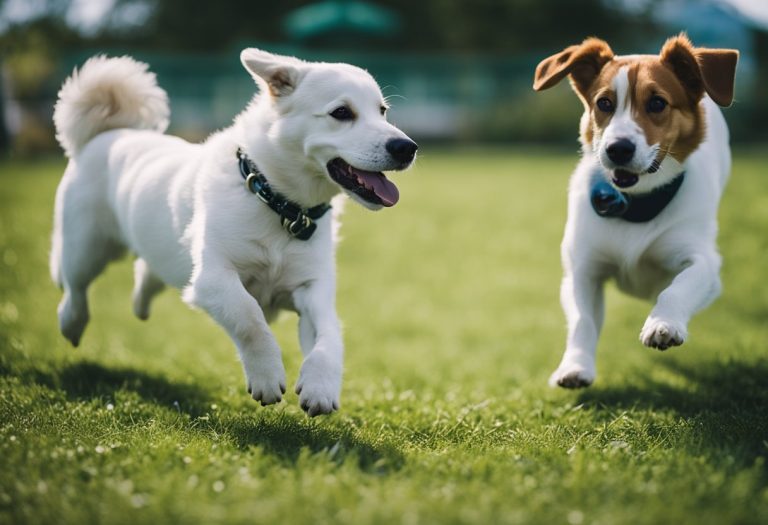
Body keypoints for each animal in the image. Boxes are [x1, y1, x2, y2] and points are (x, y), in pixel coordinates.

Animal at [52, 51, 420, 416]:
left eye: (382, 111)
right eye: (341, 113)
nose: (407, 147)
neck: (282, 207)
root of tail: (111, 131)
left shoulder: (312, 290)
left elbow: (330, 337)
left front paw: (321, 386)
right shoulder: (212, 279)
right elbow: (249, 318)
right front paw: (267, 374)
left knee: (146, 272)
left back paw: (139, 303)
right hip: (87, 249)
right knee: (74, 287)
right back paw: (70, 322)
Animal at [536, 32, 736, 384]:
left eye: (657, 103)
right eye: (604, 103)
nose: (618, 149)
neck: (636, 202)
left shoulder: (705, 263)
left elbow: (678, 287)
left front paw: (662, 323)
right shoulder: (583, 270)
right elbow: (582, 320)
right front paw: (575, 365)